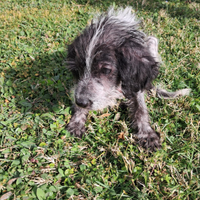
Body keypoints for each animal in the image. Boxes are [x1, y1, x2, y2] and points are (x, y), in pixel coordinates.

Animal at [66, 6, 191, 150]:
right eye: (77, 70)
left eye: (106, 70)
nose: (81, 102)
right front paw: (76, 121)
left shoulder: (135, 83)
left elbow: (141, 109)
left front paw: (147, 134)